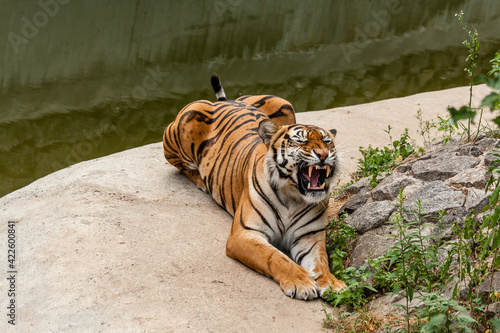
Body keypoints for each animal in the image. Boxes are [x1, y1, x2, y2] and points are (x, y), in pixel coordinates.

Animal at [162, 74, 346, 298]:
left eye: (327, 141)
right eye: (300, 141)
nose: (323, 154)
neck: (293, 198)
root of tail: (228, 101)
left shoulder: (309, 237)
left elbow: (321, 261)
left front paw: (332, 283)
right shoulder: (245, 234)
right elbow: (274, 256)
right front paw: (301, 281)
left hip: (282, 102)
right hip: (183, 121)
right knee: (181, 165)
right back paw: (200, 180)